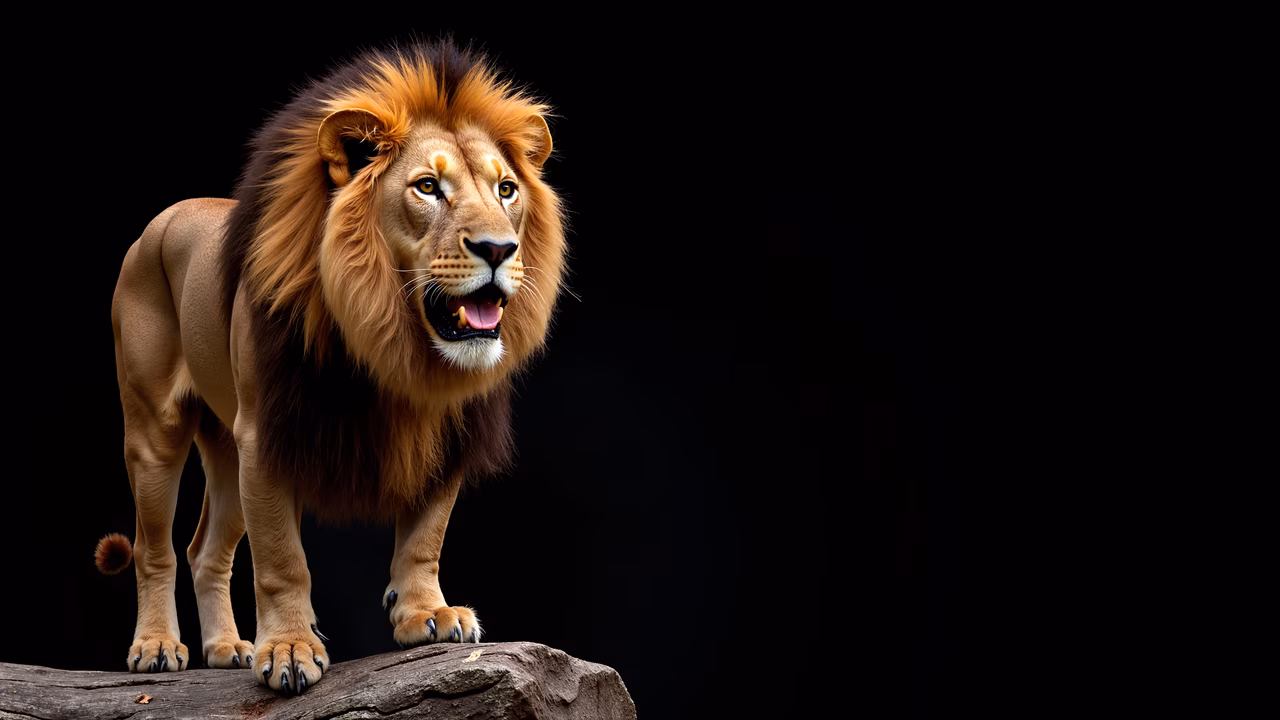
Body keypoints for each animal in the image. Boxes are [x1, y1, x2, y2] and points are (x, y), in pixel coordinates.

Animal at [103, 41, 565, 694]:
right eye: (428, 187)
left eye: (506, 189)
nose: (499, 249)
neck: (395, 343)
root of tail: (164, 218)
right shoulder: (269, 434)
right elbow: (282, 560)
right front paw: (289, 650)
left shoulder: (447, 433)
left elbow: (425, 536)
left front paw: (427, 614)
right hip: (154, 432)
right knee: (154, 548)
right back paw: (157, 647)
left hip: (225, 448)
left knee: (206, 552)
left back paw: (225, 648)